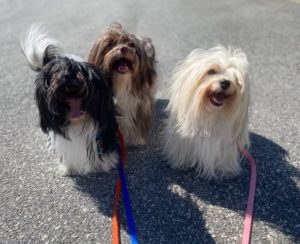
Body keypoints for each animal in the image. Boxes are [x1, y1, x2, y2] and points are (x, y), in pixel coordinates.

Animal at [21, 25, 118, 175]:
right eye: (56, 73)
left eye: (82, 72)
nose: (68, 76)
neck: (78, 122)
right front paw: (69, 167)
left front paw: (106, 163)